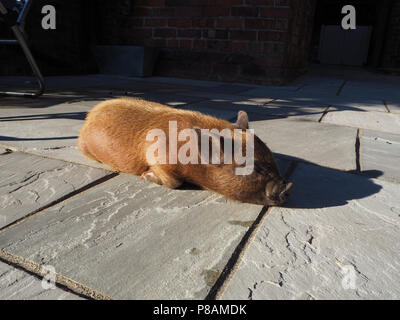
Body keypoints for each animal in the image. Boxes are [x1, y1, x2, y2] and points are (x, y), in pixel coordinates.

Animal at [78, 97, 292, 206]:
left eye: (272, 160)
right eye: (256, 169)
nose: (288, 186)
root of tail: (89, 116)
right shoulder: (156, 158)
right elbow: (174, 182)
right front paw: (145, 175)